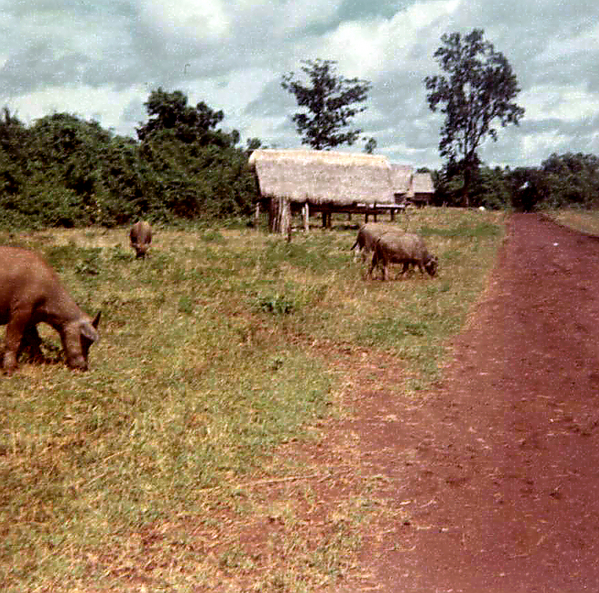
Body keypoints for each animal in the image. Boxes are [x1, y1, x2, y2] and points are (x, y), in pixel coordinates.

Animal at [0, 246, 101, 374]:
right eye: (85, 339)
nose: (83, 367)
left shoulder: (31, 320)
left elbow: (35, 340)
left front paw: (40, 361)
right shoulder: (21, 311)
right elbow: (13, 340)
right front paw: (10, 369)